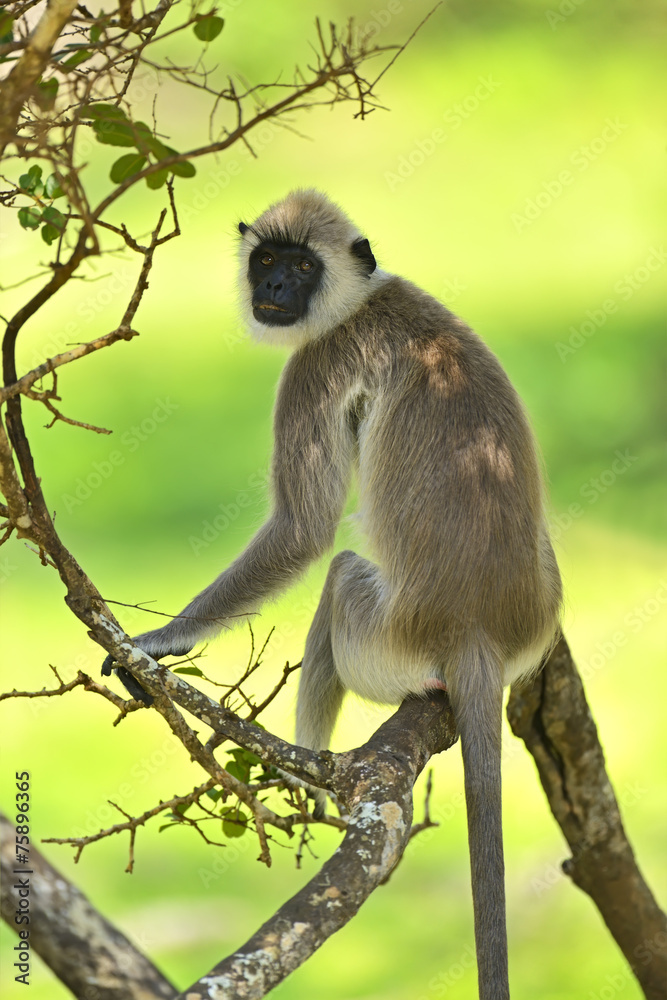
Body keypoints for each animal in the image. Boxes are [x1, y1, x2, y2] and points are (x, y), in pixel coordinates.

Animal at [102, 189, 561, 999]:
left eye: (301, 266)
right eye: (266, 259)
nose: (275, 287)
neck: (365, 300)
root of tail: (476, 633)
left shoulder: (317, 362)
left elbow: (304, 530)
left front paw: (155, 644)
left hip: (379, 637)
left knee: (342, 571)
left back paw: (304, 781)